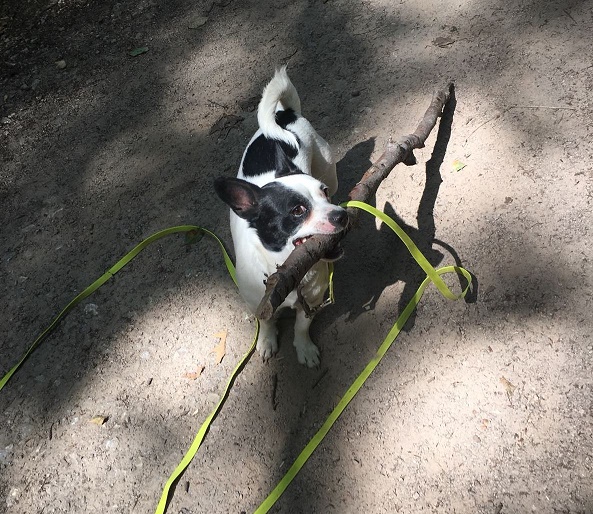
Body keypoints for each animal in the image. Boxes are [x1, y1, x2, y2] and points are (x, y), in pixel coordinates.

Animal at [214, 67, 348, 367]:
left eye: (323, 194)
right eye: (297, 211)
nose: (341, 215)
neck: (288, 273)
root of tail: (284, 115)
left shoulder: (312, 301)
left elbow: (301, 326)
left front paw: (304, 348)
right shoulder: (258, 304)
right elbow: (266, 323)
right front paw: (266, 341)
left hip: (328, 169)